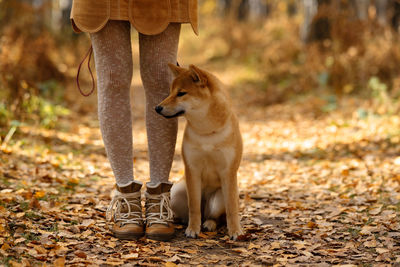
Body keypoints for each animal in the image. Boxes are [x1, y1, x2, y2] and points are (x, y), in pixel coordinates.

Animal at [155, 64, 244, 241]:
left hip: (218, 199)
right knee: (194, 212)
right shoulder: (192, 169)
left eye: (181, 93)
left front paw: (235, 231)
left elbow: (232, 209)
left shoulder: (228, 172)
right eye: (170, 92)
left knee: (216, 217)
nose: (157, 108)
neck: (207, 132)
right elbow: (194, 206)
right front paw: (192, 229)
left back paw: (209, 224)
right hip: (177, 192)